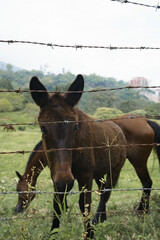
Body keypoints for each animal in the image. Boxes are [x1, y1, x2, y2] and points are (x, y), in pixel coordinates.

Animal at [28, 74, 126, 238]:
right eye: (43, 129)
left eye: (75, 127)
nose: (66, 182)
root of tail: (117, 127)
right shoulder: (55, 175)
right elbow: (57, 205)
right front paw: (53, 233)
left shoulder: (85, 175)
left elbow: (84, 205)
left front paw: (89, 233)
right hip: (99, 172)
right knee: (103, 190)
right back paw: (102, 218)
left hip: (115, 170)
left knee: (106, 192)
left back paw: (96, 220)